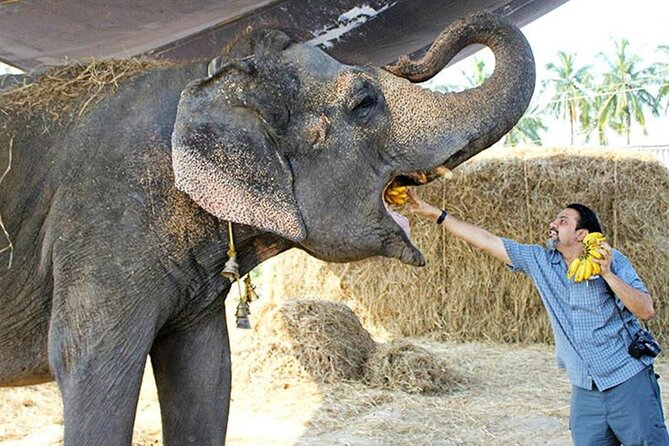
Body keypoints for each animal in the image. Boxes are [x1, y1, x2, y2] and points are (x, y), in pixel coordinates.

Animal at [0, 12, 534, 445]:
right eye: (364, 102)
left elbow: (207, 371)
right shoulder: (104, 226)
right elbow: (90, 365)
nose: (408, 56)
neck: (207, 73)